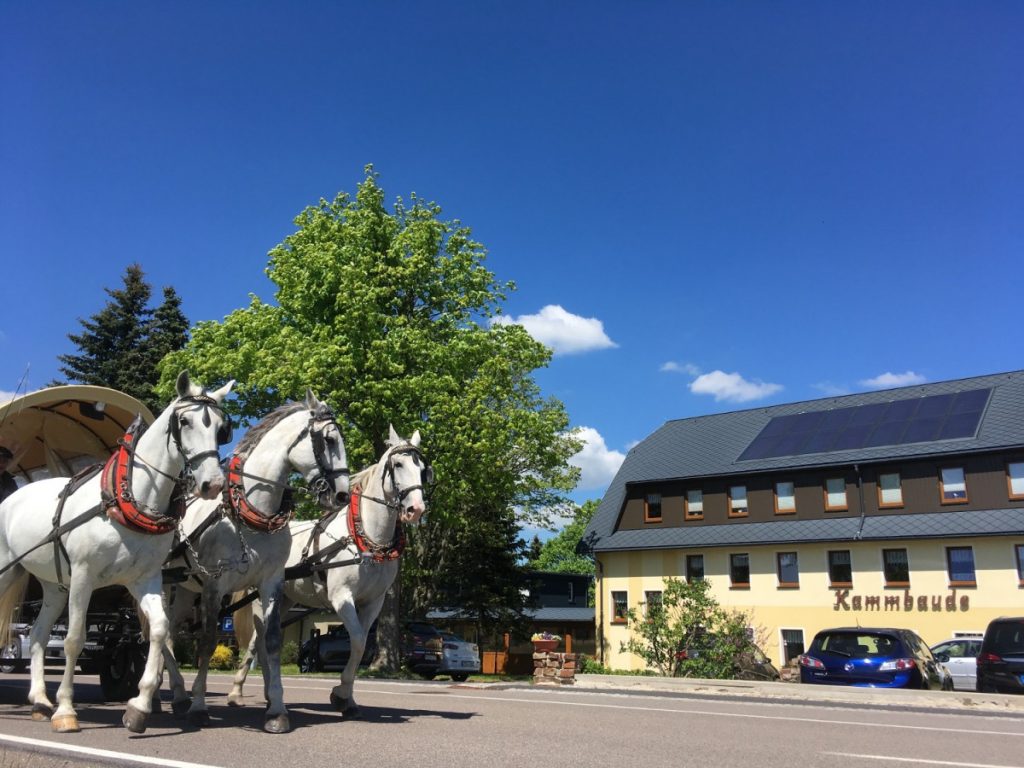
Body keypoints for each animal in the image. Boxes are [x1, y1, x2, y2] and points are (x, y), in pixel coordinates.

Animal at [0, 376, 232, 737]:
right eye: (184, 421)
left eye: (223, 428)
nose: (213, 484)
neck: (129, 499)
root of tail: (14, 496)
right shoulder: (83, 577)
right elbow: (74, 640)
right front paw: (66, 711)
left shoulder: (144, 579)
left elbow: (160, 629)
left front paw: (139, 706)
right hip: (8, 569)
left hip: (54, 585)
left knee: (37, 636)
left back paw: (39, 701)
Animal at [161, 391, 350, 733]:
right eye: (329, 440)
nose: (342, 494)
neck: (251, 513)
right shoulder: (214, 584)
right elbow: (207, 642)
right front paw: (199, 706)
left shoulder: (271, 582)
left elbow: (272, 641)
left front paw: (277, 711)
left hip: (184, 589)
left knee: (167, 630)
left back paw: (175, 693)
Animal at [227, 430, 428, 720]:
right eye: (398, 465)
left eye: (423, 469)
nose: (416, 509)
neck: (367, 537)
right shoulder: (342, 597)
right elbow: (358, 641)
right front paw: (341, 695)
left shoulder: (374, 602)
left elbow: (360, 645)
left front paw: (347, 698)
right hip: (259, 598)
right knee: (259, 641)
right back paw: (239, 693)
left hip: (285, 599)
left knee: (261, 642)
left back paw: (262, 694)